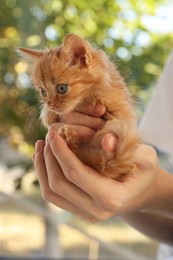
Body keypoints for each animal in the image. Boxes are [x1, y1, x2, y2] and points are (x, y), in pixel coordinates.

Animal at [18, 33, 141, 180]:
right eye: (42, 92)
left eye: (62, 88)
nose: (50, 105)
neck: (92, 94)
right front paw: (48, 114)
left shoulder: (124, 114)